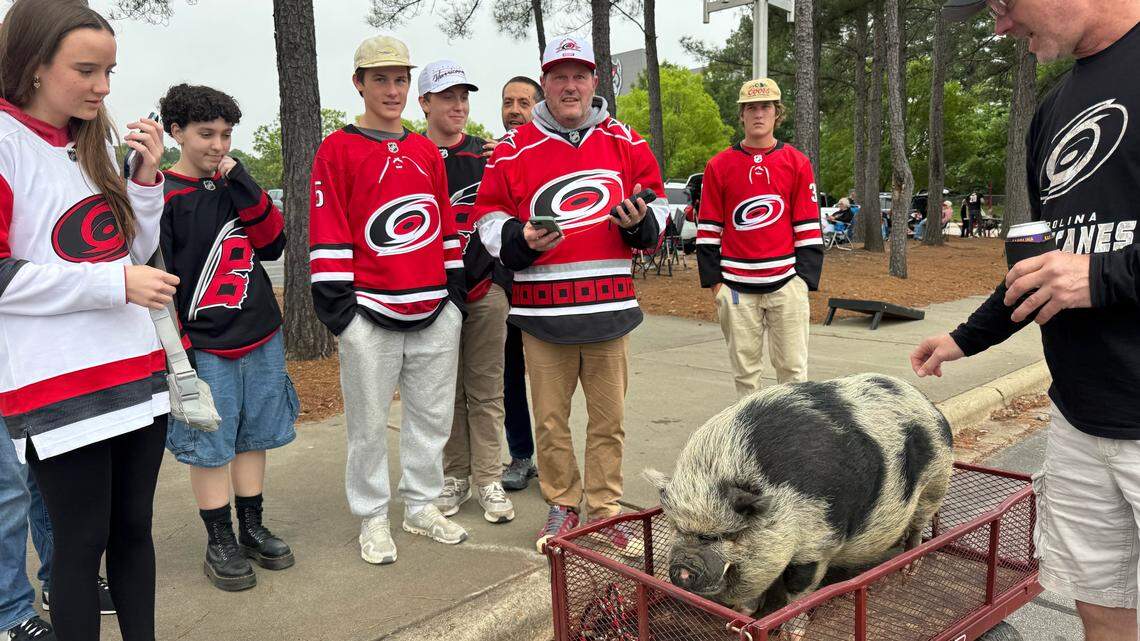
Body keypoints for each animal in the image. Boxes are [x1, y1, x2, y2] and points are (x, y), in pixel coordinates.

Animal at [645, 374, 954, 616]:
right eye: (677, 528)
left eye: (721, 535)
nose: (681, 569)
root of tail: (930, 405)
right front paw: (745, 613)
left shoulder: (818, 541)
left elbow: (798, 590)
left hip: (935, 483)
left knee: (918, 527)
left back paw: (910, 567)